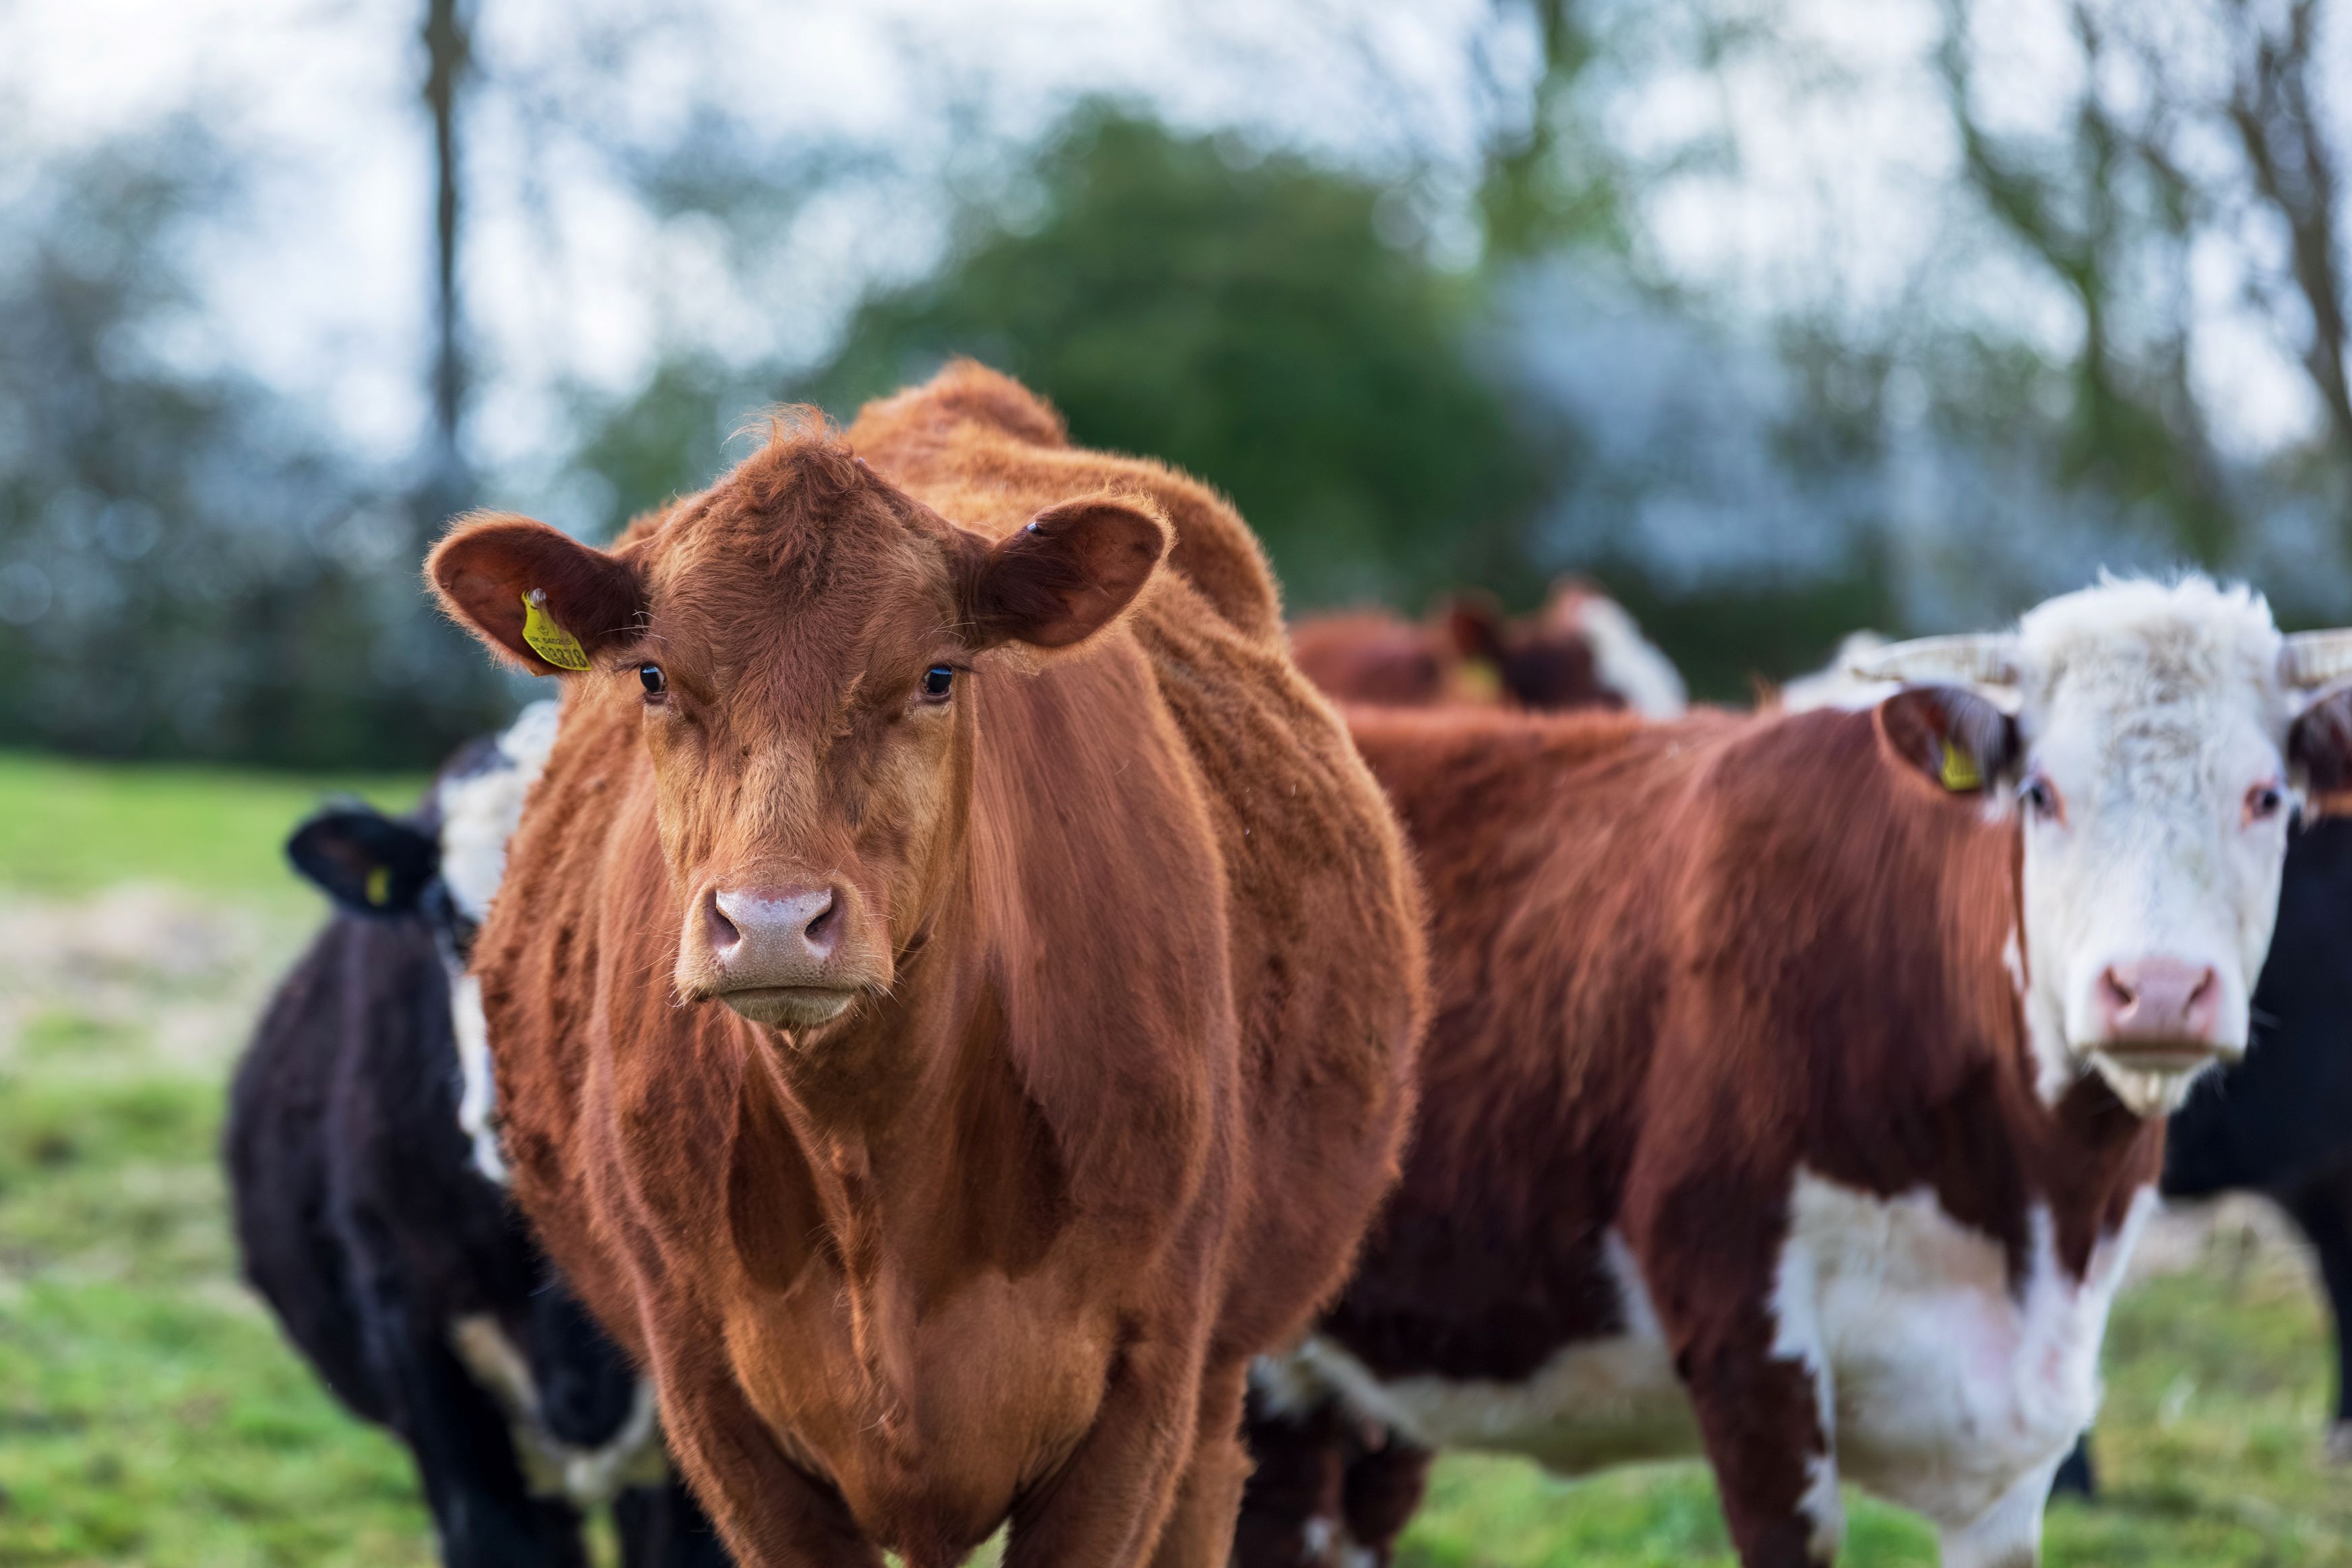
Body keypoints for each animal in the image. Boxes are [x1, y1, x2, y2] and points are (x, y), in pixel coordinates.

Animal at [421, 361, 1427, 1568]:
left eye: (938, 674)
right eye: (654, 676)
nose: (772, 919)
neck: (869, 1160)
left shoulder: (1140, 1404)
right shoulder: (716, 1410)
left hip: (1216, 1391)